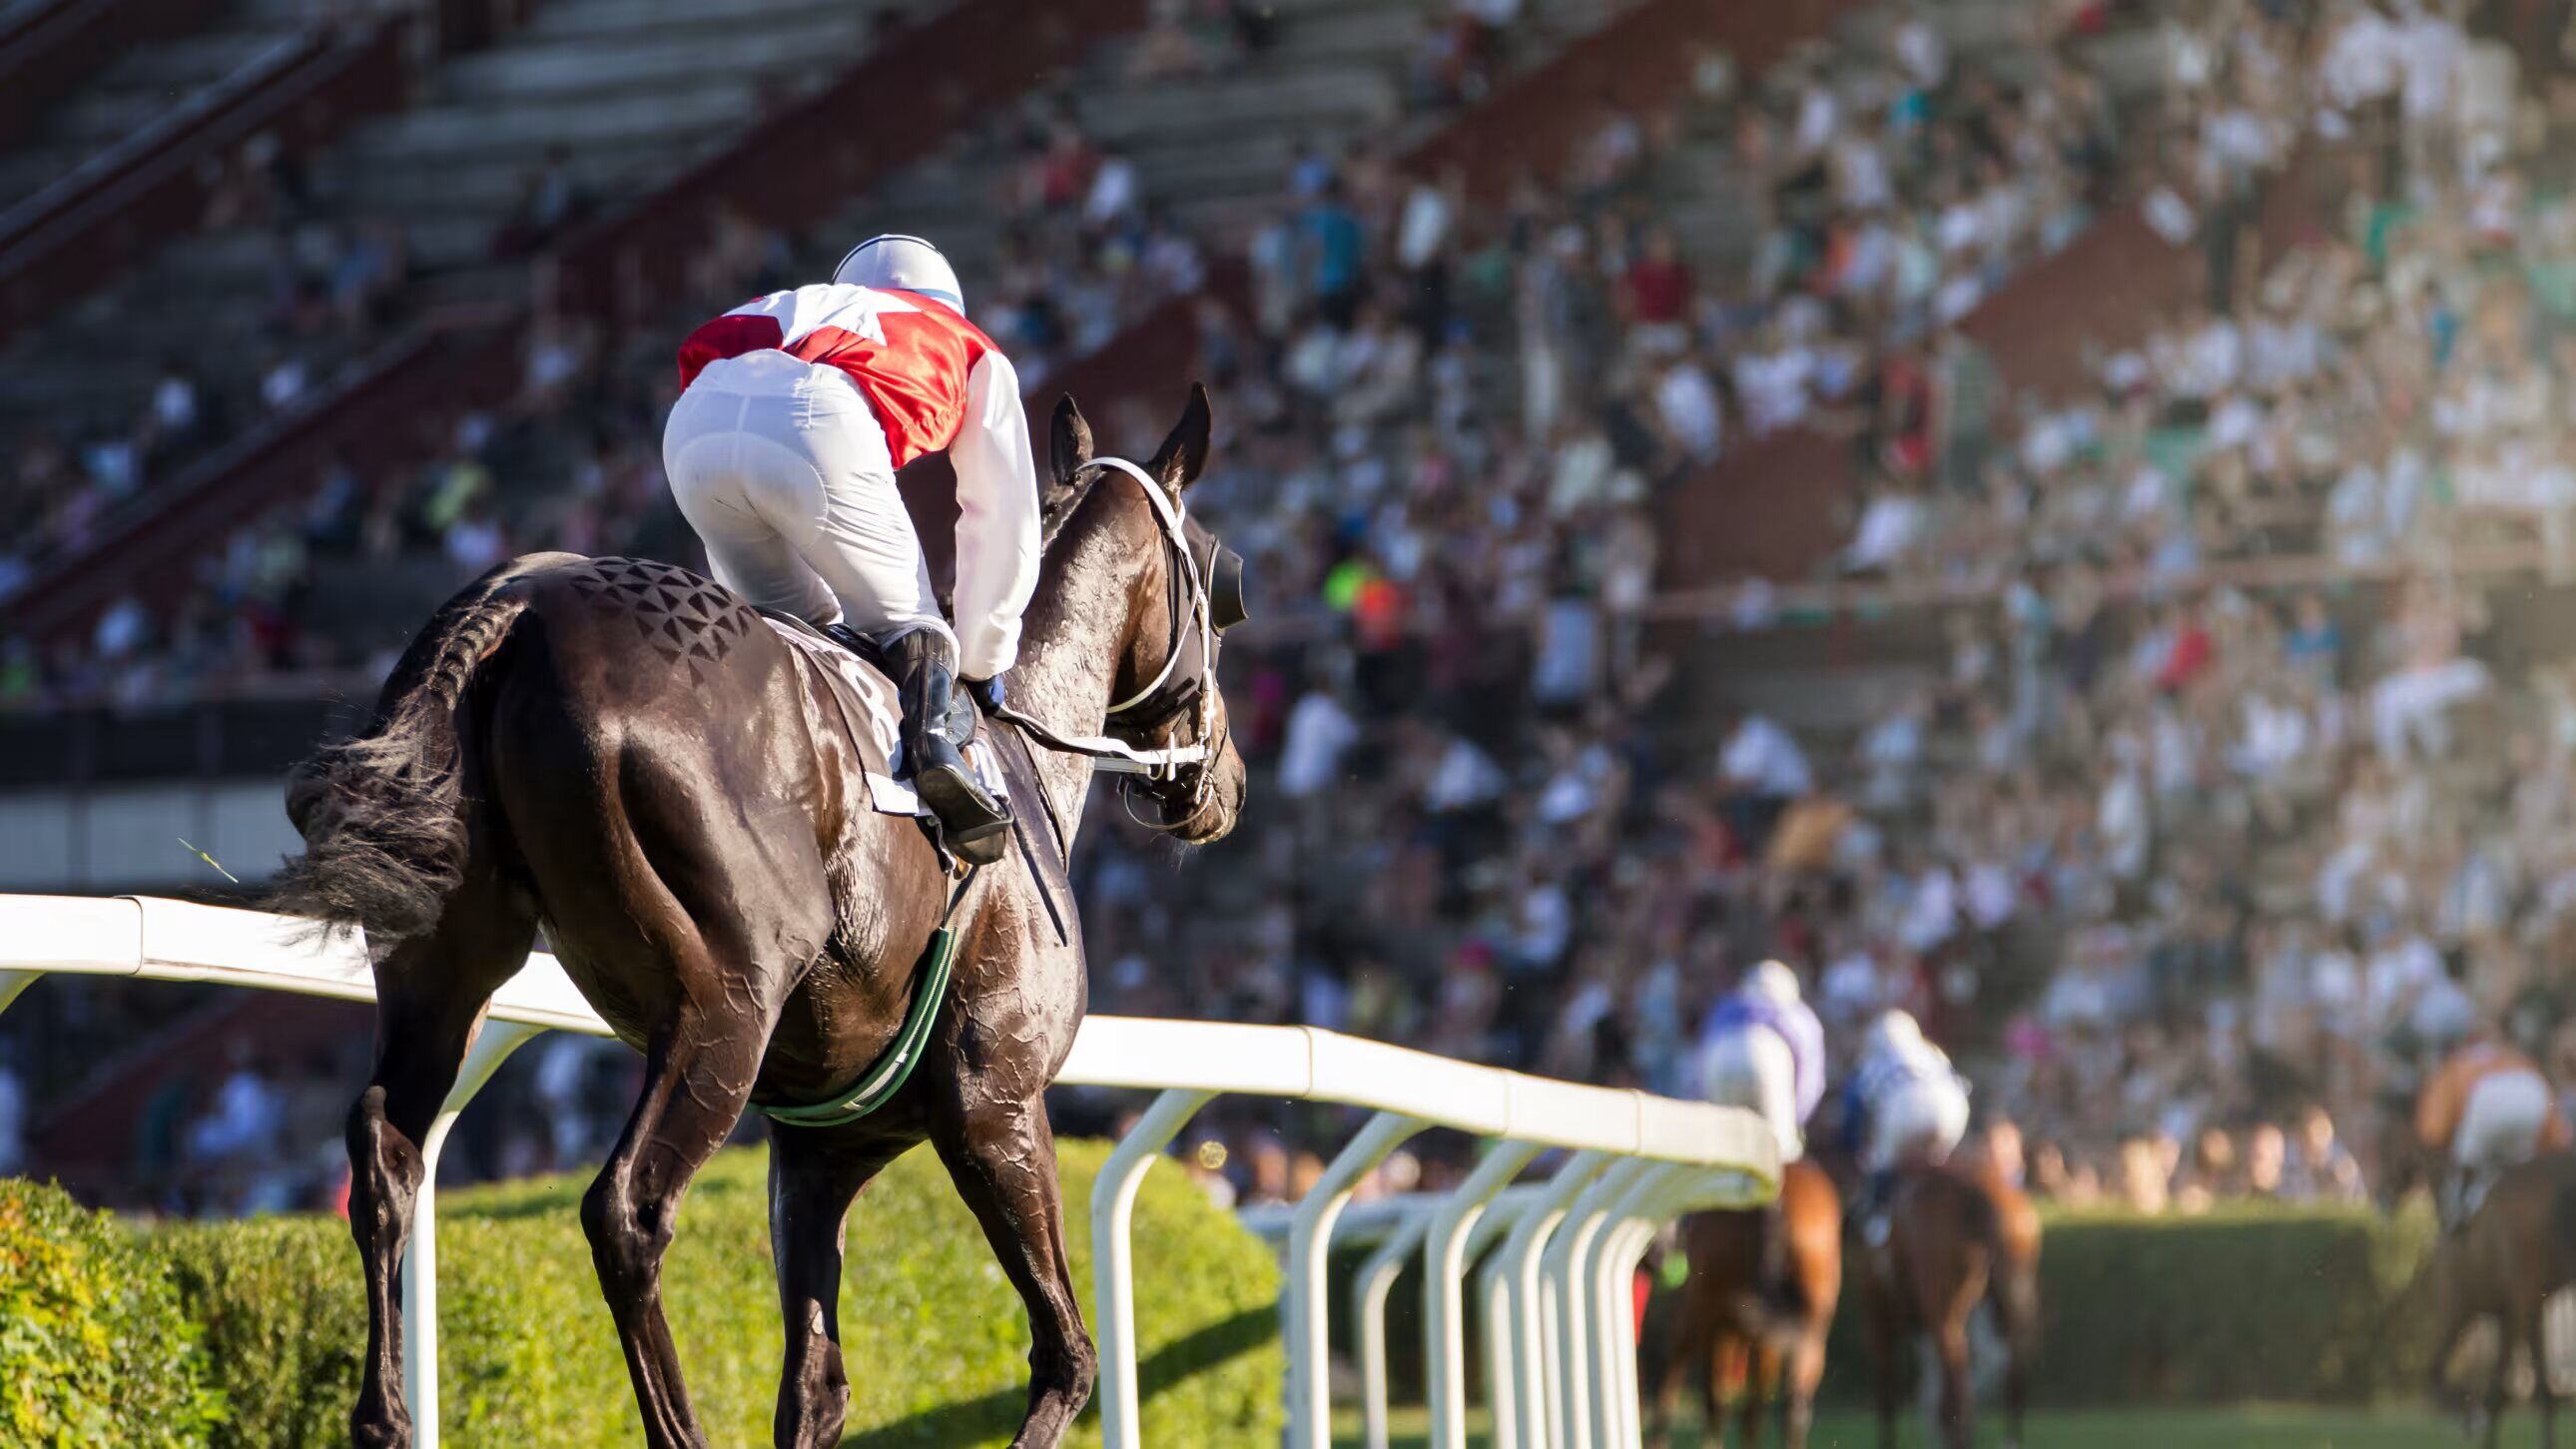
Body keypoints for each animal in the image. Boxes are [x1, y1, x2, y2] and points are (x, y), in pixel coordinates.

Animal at [272, 386, 1246, 1443]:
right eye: (1223, 585)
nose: (1225, 780)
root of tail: (522, 604)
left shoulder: (822, 1150)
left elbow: (815, 1388)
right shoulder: (996, 1104)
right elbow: (1066, 1355)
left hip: (444, 963)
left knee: (387, 1155)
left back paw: (384, 1412)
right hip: (725, 1000)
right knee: (627, 1207)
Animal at [1648, 1149, 1833, 1443]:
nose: (1659, 1254)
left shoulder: (1704, 1313)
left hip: (1714, 1311)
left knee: (1721, 1401)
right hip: (1811, 1323)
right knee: (1791, 1407)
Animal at [1864, 1154, 2040, 1443]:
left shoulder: (1879, 1309)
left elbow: (1889, 1391)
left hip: (1944, 1310)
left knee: (1958, 1373)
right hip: (2004, 1302)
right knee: (2009, 1370)